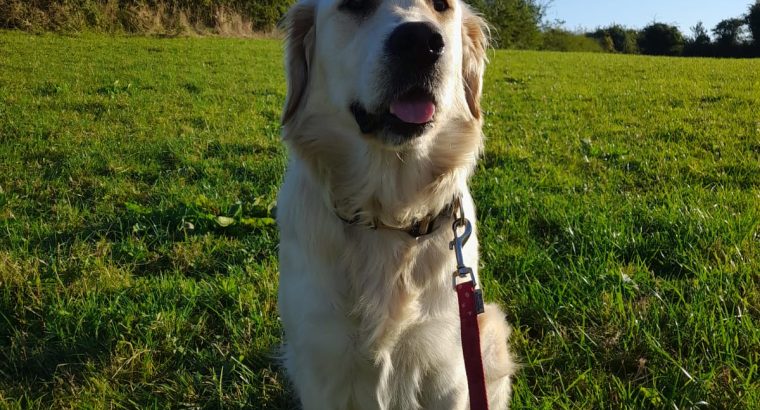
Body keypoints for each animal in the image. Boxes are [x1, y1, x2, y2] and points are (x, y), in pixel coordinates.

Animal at [276, 0, 512, 406]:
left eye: (441, 6)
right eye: (354, 5)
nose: (421, 42)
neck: (388, 214)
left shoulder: (449, 369)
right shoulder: (322, 361)